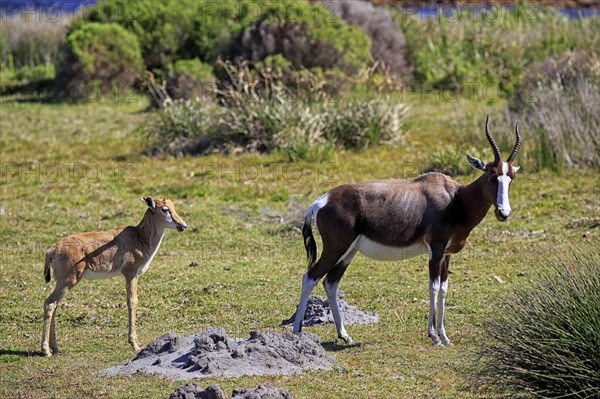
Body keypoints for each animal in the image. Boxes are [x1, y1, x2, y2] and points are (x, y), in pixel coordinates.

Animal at [41, 198, 186, 358]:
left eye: (173, 207)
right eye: (165, 209)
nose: (183, 225)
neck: (139, 236)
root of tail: (52, 250)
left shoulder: (133, 276)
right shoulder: (130, 274)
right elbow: (132, 302)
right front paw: (135, 345)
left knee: (54, 305)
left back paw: (55, 348)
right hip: (68, 282)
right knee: (50, 303)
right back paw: (46, 350)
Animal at [296, 116, 520, 346]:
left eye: (510, 177)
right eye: (492, 175)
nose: (503, 213)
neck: (455, 198)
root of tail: (320, 201)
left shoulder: (447, 254)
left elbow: (444, 288)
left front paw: (445, 337)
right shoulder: (435, 249)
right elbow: (433, 287)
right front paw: (434, 336)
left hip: (348, 252)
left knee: (330, 283)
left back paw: (345, 335)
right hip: (335, 249)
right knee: (309, 277)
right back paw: (297, 333)